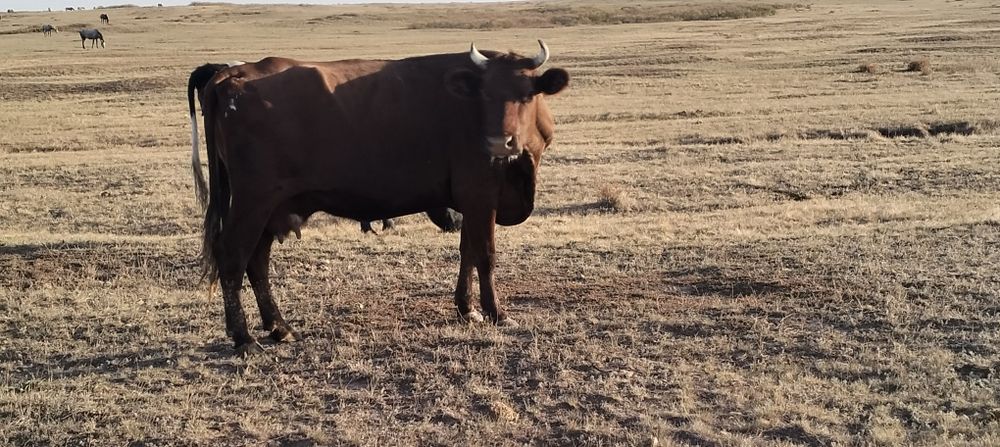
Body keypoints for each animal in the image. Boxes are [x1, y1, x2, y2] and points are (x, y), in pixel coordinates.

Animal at [187, 41, 568, 355]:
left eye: (526, 94)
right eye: (485, 95)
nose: (498, 143)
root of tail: (233, 73)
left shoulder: (468, 201)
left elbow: (467, 253)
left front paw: (467, 308)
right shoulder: (481, 195)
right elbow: (485, 255)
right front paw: (496, 312)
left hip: (271, 208)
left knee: (257, 261)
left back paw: (279, 327)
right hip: (254, 201)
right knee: (232, 256)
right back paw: (244, 338)